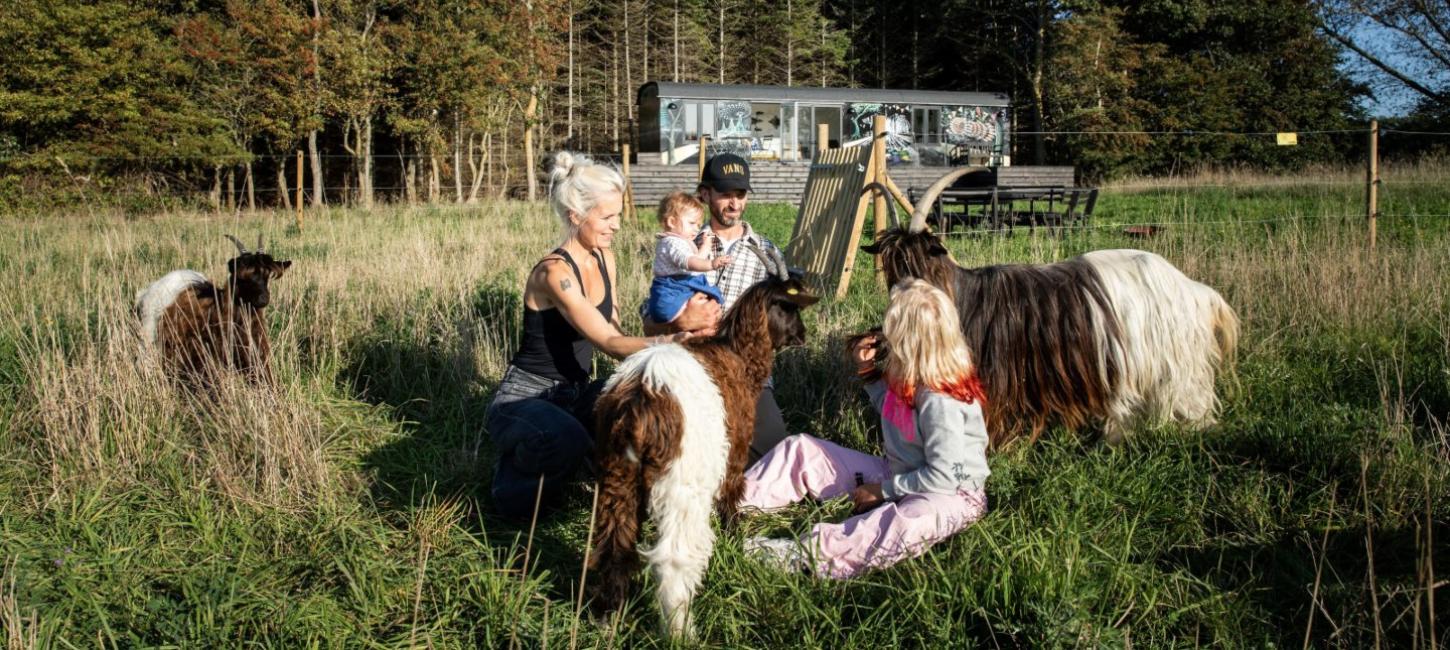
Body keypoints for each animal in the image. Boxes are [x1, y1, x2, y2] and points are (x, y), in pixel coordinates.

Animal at [585, 243, 817, 638]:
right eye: (789, 306)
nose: (801, 335)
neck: (738, 355)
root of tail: (639, 399)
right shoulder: (735, 452)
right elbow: (731, 499)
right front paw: (735, 543)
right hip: (682, 482)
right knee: (673, 557)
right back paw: (682, 631)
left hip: (617, 475)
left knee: (615, 545)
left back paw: (607, 617)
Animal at [858, 169, 1235, 446]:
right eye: (891, 267)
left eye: (921, 262)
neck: (963, 297)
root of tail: (1194, 289)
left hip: (1170, 362)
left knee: (1189, 401)